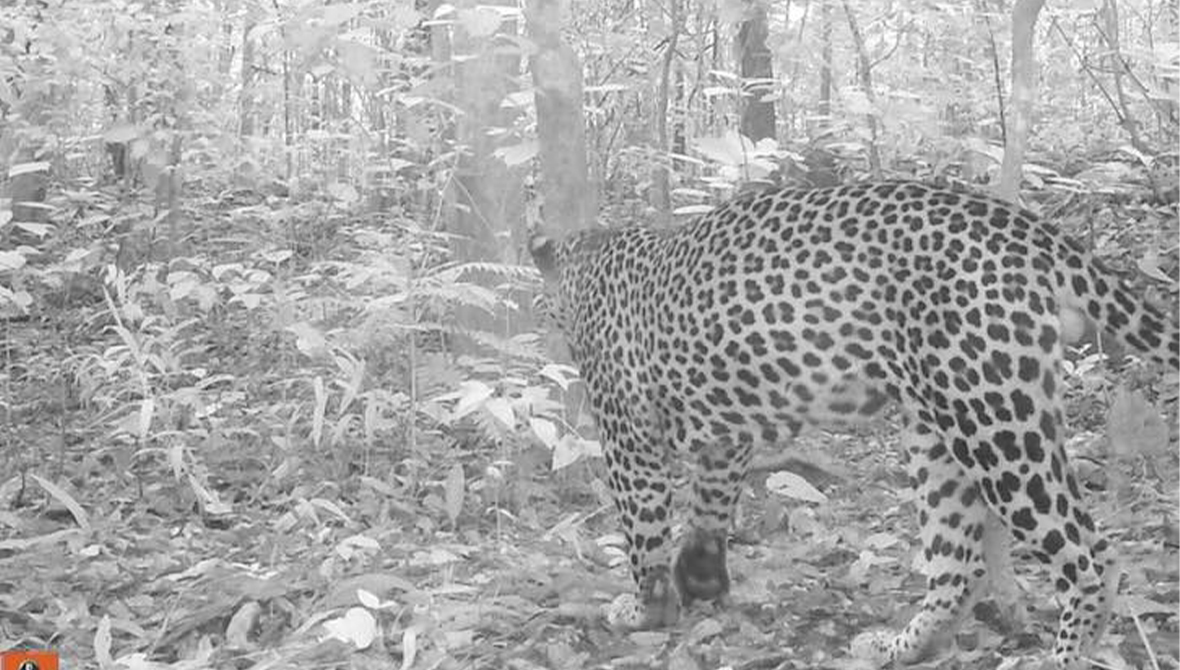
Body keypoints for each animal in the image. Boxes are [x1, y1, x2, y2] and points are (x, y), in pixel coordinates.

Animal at [533, 180, 1180, 665]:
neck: (586, 258)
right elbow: (709, 507)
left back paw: (1064, 654)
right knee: (958, 563)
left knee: (1088, 554)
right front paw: (701, 578)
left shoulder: (627, 434)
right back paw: (902, 646)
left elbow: (642, 527)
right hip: (935, 427)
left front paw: (645, 607)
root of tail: (1029, 228)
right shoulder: (726, 437)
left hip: (995, 419)